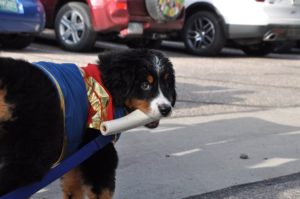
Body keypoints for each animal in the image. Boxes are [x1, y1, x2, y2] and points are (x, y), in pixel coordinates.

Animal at [0, 49, 176, 199]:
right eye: (145, 85)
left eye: (167, 85)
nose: (166, 109)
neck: (108, 87)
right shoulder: (98, 153)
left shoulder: (75, 154)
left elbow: (72, 190)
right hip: (31, 158)